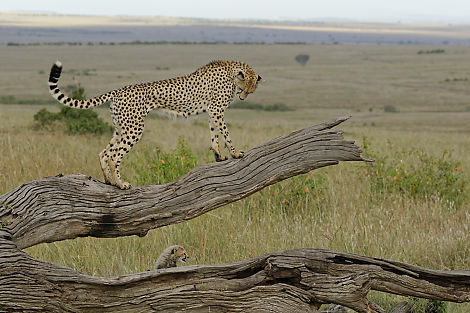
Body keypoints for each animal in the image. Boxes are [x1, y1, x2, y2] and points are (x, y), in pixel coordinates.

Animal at [49, 60, 262, 188]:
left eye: (251, 91)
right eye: (243, 89)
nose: (242, 98)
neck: (232, 71)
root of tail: (120, 89)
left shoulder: (212, 111)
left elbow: (214, 133)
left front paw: (219, 155)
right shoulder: (217, 109)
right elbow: (225, 132)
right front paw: (235, 153)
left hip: (121, 128)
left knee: (104, 152)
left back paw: (110, 181)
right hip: (134, 128)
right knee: (114, 155)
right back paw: (121, 184)